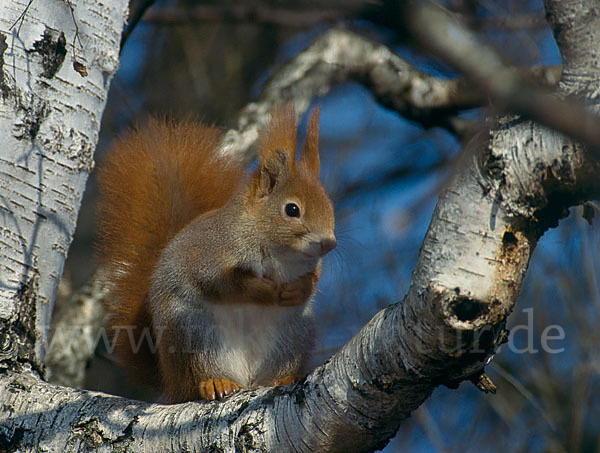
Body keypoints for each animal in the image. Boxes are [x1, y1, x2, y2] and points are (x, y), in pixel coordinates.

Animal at [96, 107, 336, 402]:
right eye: (292, 209)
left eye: (329, 205)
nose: (329, 243)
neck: (281, 254)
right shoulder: (210, 255)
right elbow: (225, 284)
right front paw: (266, 291)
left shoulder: (311, 267)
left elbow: (312, 280)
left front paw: (297, 290)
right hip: (193, 333)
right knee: (198, 377)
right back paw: (214, 383)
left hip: (294, 336)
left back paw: (281, 378)